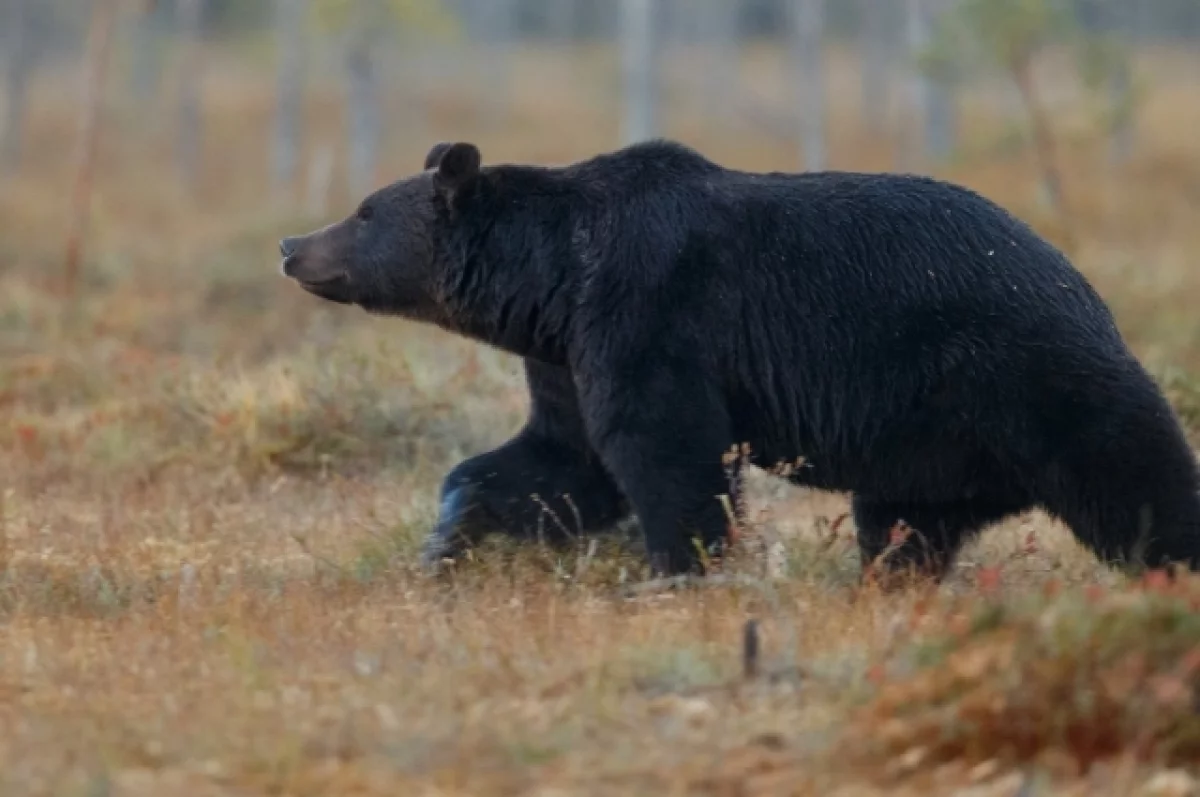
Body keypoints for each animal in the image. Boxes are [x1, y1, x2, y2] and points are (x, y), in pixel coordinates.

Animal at [278, 137, 1200, 583]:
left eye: (363, 211)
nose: (291, 244)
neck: (552, 277)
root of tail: (1083, 284)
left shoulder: (650, 308)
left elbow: (665, 452)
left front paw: (678, 571)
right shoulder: (568, 350)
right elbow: (563, 460)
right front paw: (447, 538)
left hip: (1023, 370)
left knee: (1136, 475)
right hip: (926, 448)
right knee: (902, 529)